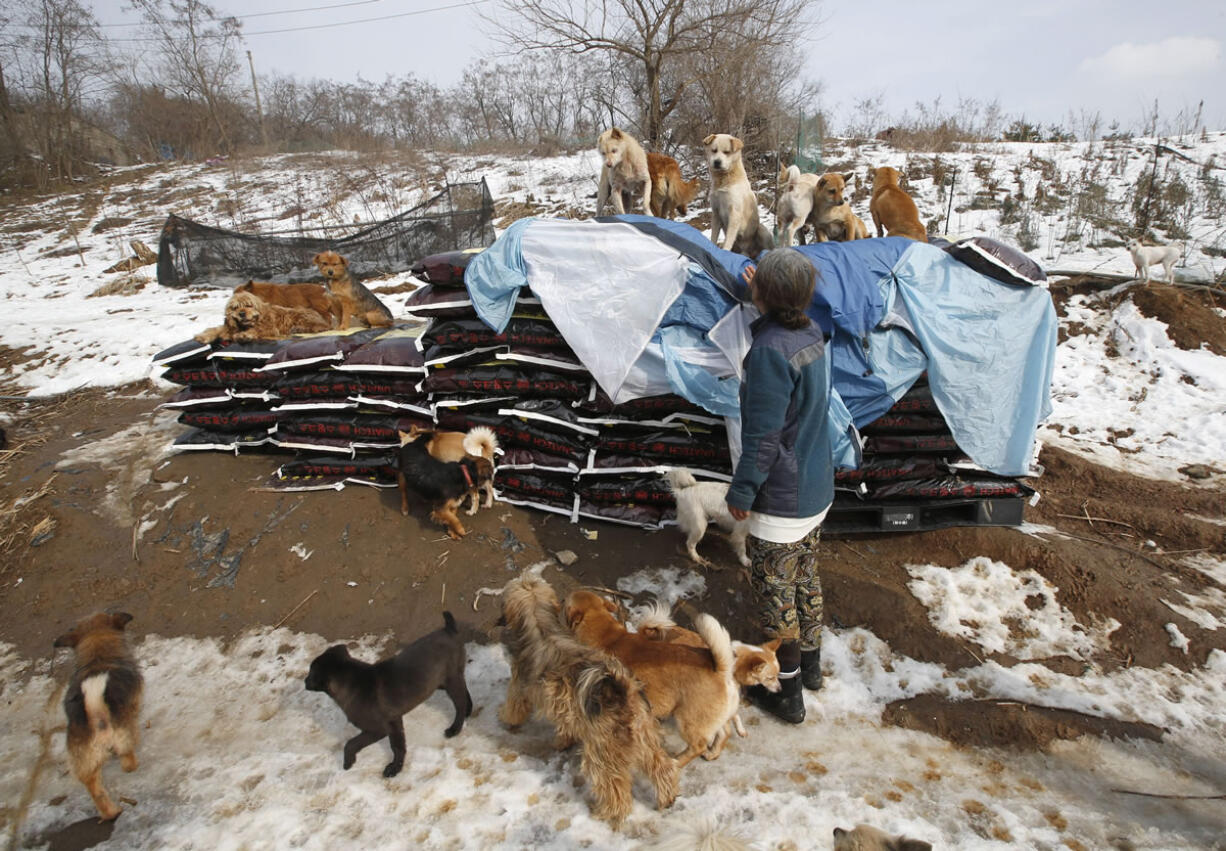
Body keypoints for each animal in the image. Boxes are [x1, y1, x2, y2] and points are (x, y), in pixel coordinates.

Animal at [54, 613, 142, 828]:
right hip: (123, 734)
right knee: (127, 761)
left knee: (95, 789)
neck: (98, 656)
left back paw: (111, 812)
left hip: (83, 759)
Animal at [193, 291, 333, 345]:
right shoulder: (228, 327)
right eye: (235, 308)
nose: (242, 313)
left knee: (319, 327)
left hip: (300, 314)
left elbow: (257, 330)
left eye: (248, 305)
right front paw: (203, 336)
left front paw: (244, 335)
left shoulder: (269, 328)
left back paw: (298, 329)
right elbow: (215, 329)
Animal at [495, 573, 681, 828]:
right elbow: (565, 726)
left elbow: (515, 707)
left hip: (603, 753)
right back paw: (667, 797)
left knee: (615, 789)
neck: (539, 622)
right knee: (662, 766)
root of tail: (620, 690)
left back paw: (607, 813)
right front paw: (563, 741)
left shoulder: (520, 684)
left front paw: (505, 717)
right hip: (646, 736)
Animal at [561, 593, 735, 774]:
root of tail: (721, 669)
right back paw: (712, 753)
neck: (606, 634)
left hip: (688, 722)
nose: (561, 600)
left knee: (697, 746)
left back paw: (676, 762)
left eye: (565, 602)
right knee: (725, 732)